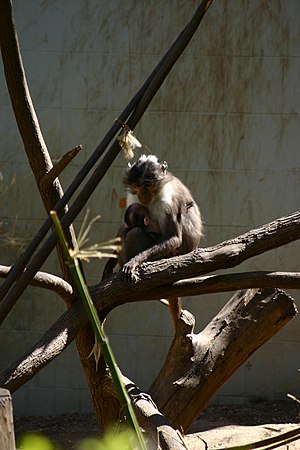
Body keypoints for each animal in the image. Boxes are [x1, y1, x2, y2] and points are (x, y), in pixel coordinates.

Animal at [122, 154, 204, 326]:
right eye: (138, 186)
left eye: (148, 185)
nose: (143, 195)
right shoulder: (132, 196)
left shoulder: (167, 199)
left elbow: (174, 237)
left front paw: (134, 261)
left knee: (135, 232)